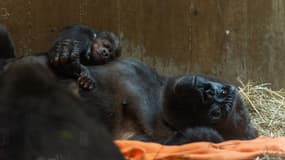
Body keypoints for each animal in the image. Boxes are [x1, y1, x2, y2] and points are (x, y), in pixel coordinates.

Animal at [0, 24, 258, 146]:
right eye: (222, 91)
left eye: (216, 113)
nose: (207, 92)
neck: (161, 95)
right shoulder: (139, 65)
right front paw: (68, 46)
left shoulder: (157, 138)